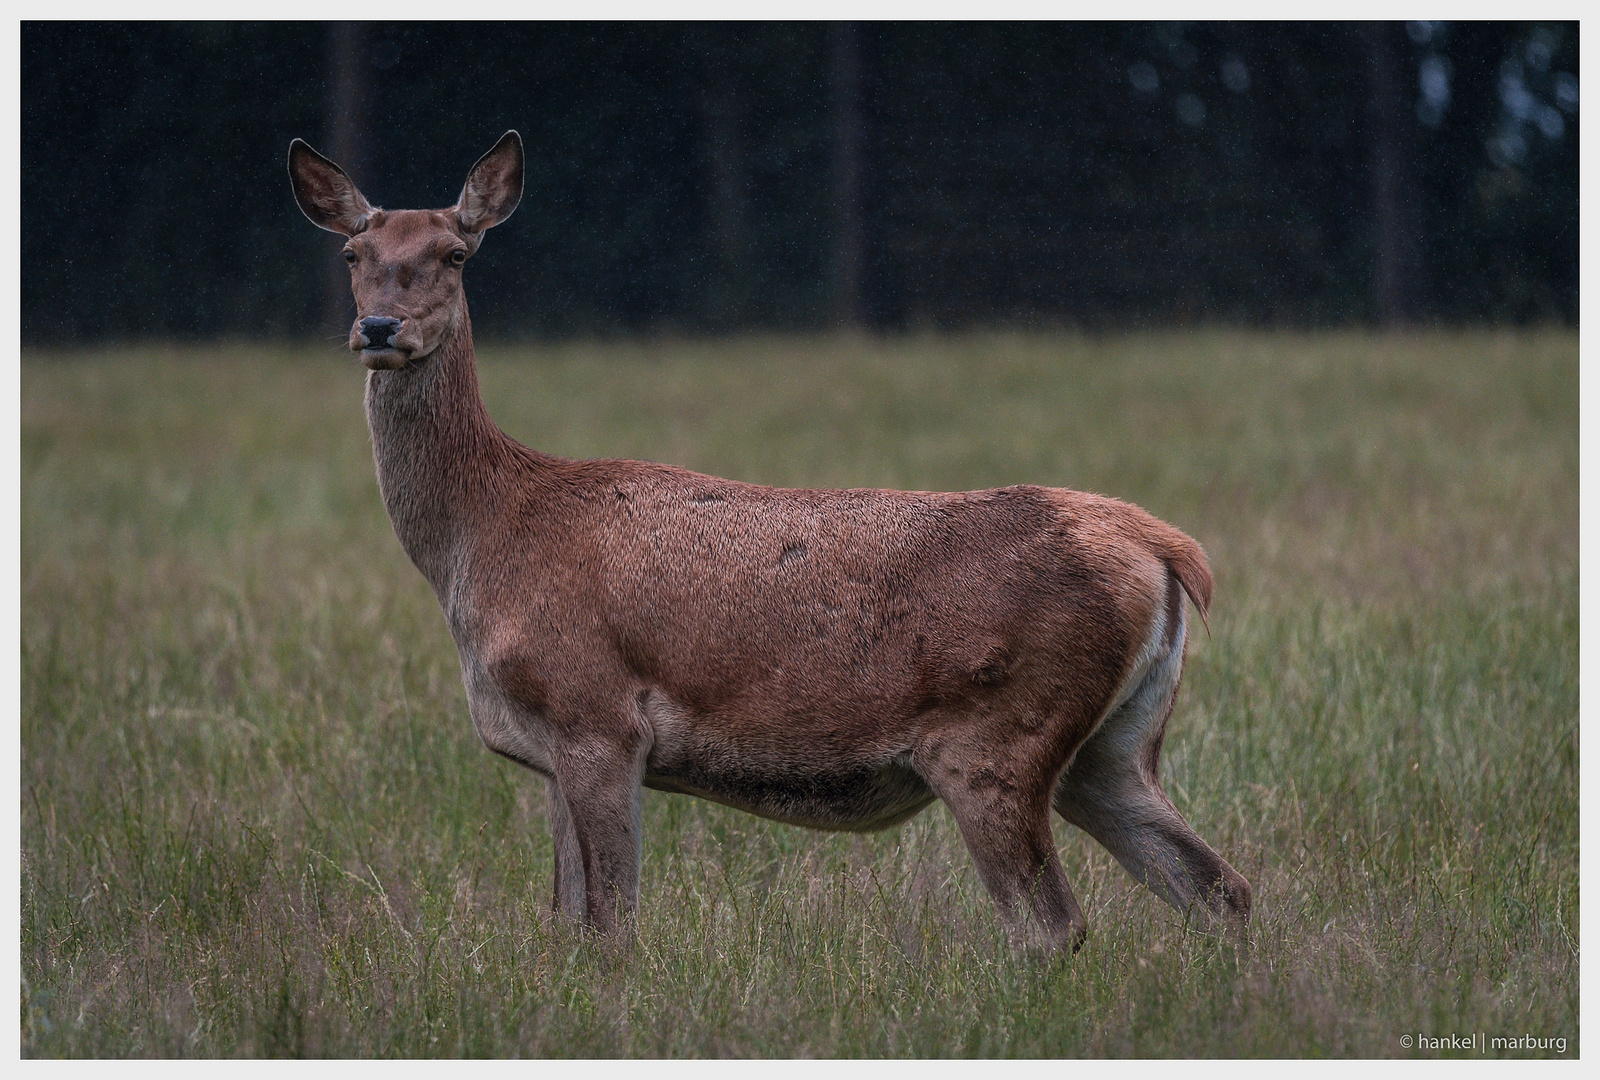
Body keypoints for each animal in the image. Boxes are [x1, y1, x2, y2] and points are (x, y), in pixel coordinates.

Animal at [294, 128, 1254, 953]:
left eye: (454, 255)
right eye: (353, 257)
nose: (378, 330)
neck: (482, 540)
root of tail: (1167, 552)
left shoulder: (595, 713)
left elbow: (612, 929)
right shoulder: (552, 748)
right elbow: (566, 924)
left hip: (994, 738)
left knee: (1054, 925)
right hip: (1115, 745)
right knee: (1219, 887)